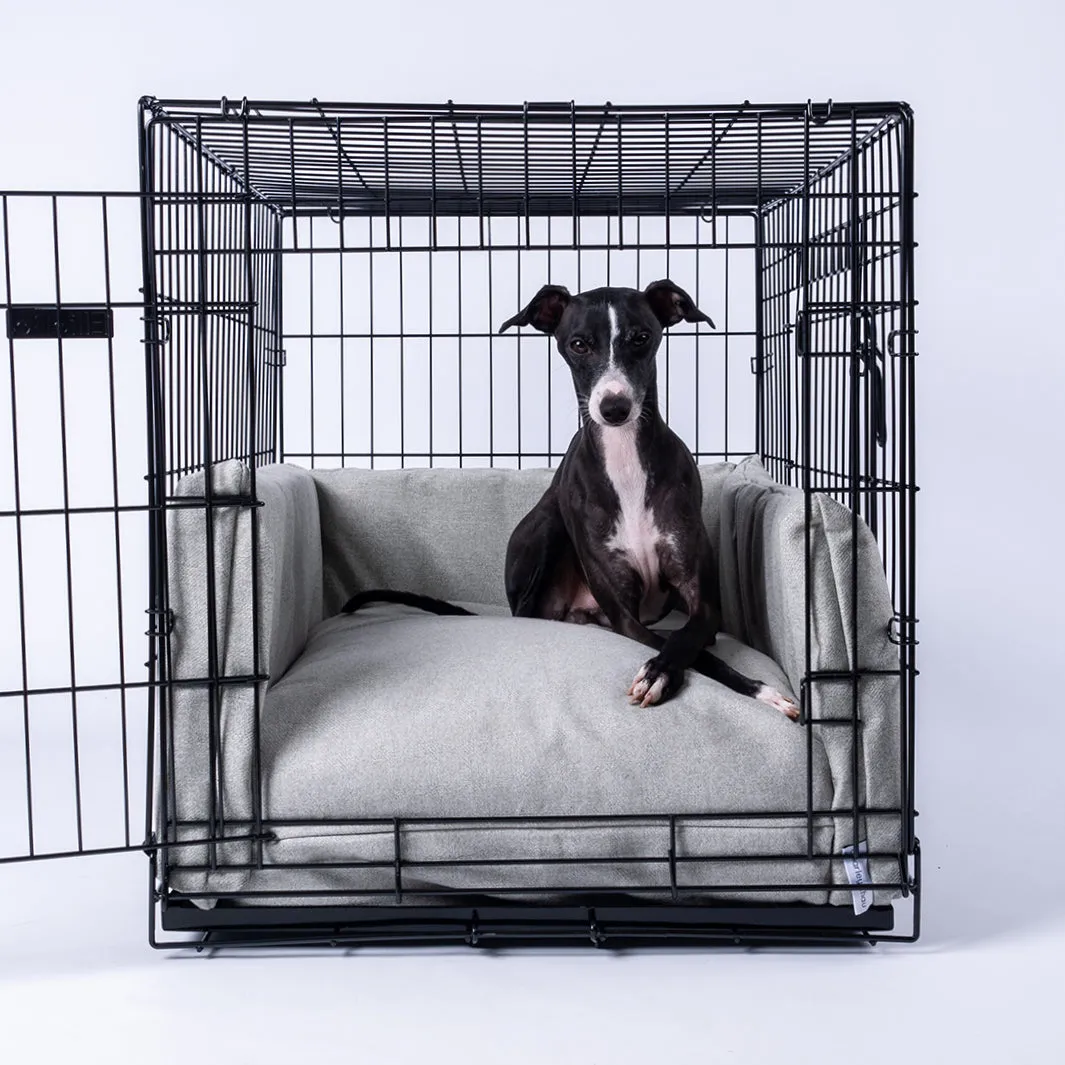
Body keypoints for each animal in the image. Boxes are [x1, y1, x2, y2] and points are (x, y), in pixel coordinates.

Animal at [342, 279, 800, 719]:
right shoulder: (624, 614)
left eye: (641, 337)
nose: (614, 408)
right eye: (579, 344)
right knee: (530, 611)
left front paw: (735, 686)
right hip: (549, 530)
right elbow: (691, 651)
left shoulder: (699, 596)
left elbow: (687, 639)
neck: (625, 463)